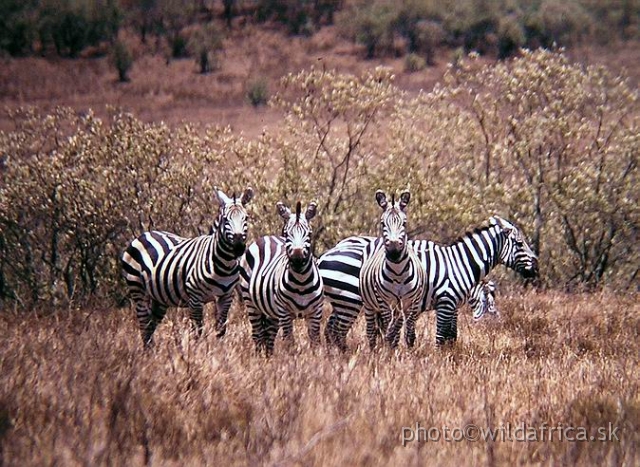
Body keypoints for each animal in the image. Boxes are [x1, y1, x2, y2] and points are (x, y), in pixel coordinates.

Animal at [120, 187, 252, 348]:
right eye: (225, 219)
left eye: (246, 218)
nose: (238, 248)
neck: (223, 265)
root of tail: (144, 234)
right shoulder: (195, 297)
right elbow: (197, 330)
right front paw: (197, 351)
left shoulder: (226, 296)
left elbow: (221, 329)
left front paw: (219, 350)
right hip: (137, 288)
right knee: (144, 323)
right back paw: (148, 351)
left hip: (159, 297)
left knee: (151, 324)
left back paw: (153, 351)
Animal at [239, 200, 324, 354]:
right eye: (286, 233)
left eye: (309, 233)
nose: (297, 260)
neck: (301, 282)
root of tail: (266, 237)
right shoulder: (285, 313)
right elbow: (289, 342)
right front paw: (291, 360)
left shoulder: (316, 312)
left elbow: (315, 341)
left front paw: (316, 359)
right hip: (251, 303)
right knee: (257, 334)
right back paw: (259, 357)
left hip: (272, 312)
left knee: (269, 335)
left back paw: (269, 357)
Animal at [318, 218, 536, 350]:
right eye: (519, 244)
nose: (535, 267)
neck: (459, 263)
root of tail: (326, 255)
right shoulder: (446, 301)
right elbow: (441, 336)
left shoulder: (449, 305)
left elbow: (451, 335)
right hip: (350, 300)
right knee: (337, 331)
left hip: (342, 301)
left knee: (330, 329)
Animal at [360, 188, 424, 350]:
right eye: (383, 223)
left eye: (404, 223)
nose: (394, 252)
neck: (398, 272)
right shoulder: (384, 300)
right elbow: (389, 326)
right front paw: (388, 343)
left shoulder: (412, 301)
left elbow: (407, 328)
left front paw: (408, 347)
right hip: (369, 305)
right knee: (371, 331)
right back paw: (374, 350)